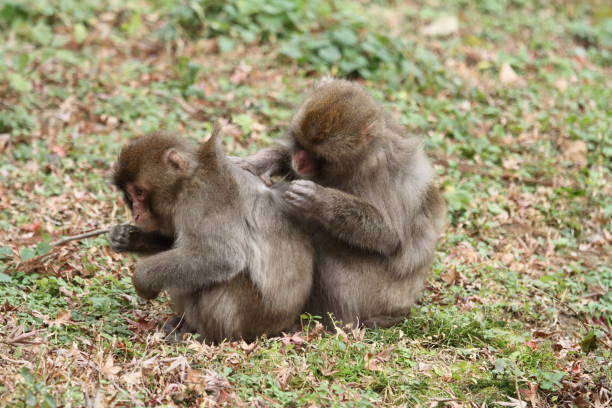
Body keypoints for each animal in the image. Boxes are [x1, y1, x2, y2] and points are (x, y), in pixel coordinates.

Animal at [107, 126, 314, 342]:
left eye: (139, 192)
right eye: (130, 196)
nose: (136, 213)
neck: (188, 179)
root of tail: (284, 323)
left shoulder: (200, 200)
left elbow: (221, 257)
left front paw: (142, 278)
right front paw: (126, 238)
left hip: (249, 318)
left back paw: (200, 333)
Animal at [241, 79, 448, 328]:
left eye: (319, 156)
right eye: (301, 144)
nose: (299, 161)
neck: (359, 158)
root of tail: (403, 305)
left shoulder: (378, 170)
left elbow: (390, 235)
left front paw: (319, 199)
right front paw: (260, 162)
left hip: (376, 295)